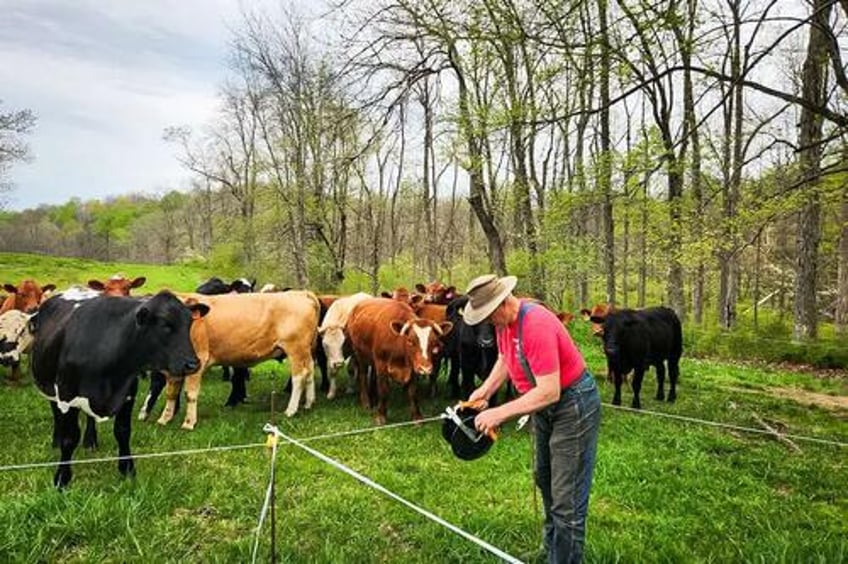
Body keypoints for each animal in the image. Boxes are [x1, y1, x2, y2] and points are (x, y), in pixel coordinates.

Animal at [29, 288, 208, 486]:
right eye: (165, 325)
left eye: (189, 324)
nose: (193, 364)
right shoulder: (67, 395)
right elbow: (70, 438)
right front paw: (62, 478)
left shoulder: (127, 393)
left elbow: (123, 432)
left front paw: (127, 470)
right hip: (49, 384)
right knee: (55, 410)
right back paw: (56, 441)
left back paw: (90, 442)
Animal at [154, 288, 320, 430]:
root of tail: (301, 293)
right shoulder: (173, 368)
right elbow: (171, 392)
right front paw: (164, 419)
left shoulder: (197, 360)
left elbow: (190, 394)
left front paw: (189, 423)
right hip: (306, 351)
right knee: (310, 371)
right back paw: (309, 403)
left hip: (296, 348)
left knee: (299, 377)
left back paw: (291, 410)